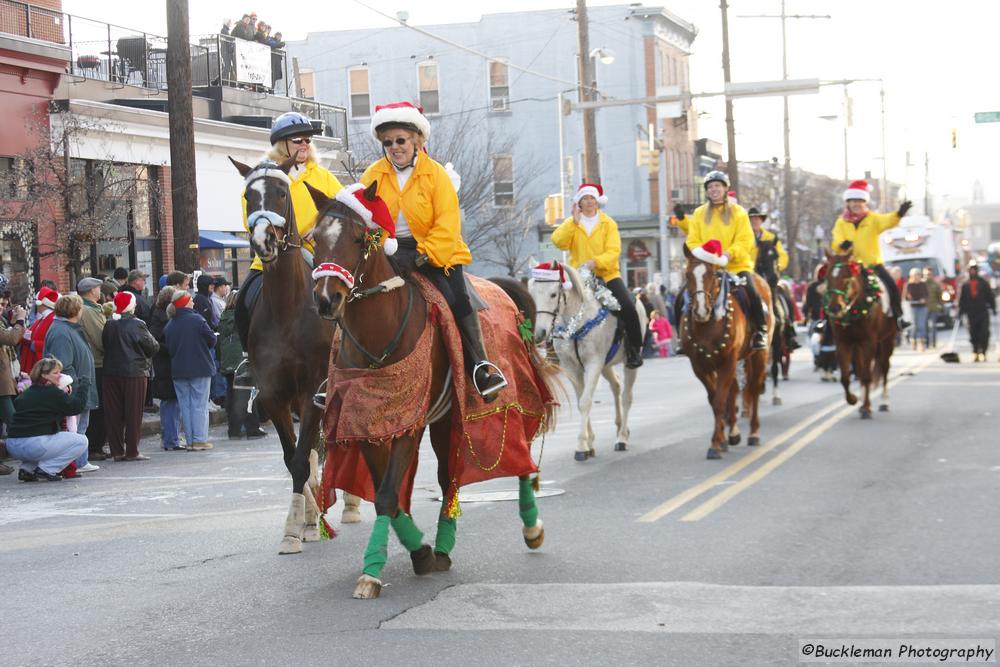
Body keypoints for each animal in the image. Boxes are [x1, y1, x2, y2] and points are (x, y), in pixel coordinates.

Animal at [229, 157, 334, 552]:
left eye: (281, 193)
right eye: (248, 195)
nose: (264, 240)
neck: (288, 308)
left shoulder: (311, 391)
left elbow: (303, 458)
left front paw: (300, 525)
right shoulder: (274, 396)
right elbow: (294, 460)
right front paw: (298, 524)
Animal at [306, 181, 556, 600]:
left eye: (358, 238)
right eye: (314, 239)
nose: (327, 300)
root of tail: (503, 289)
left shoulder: (410, 422)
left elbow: (387, 495)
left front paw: (372, 572)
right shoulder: (368, 424)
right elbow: (389, 494)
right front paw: (419, 551)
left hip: (509, 400)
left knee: (519, 459)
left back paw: (532, 526)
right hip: (444, 420)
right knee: (446, 478)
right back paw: (441, 546)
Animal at [528, 264, 644, 462]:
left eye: (553, 294)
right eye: (533, 295)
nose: (540, 333)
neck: (577, 322)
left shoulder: (593, 364)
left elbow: (585, 402)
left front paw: (581, 446)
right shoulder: (572, 368)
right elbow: (580, 400)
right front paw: (589, 444)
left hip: (628, 363)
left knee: (626, 397)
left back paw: (622, 438)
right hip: (606, 366)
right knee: (616, 386)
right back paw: (621, 428)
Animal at [680, 245, 772, 460]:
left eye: (713, 274)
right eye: (687, 274)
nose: (701, 311)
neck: (708, 326)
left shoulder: (727, 362)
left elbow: (720, 402)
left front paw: (715, 444)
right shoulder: (700, 366)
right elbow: (715, 399)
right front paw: (721, 440)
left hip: (759, 355)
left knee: (754, 389)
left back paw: (753, 433)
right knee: (735, 389)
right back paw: (734, 433)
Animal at [824, 250, 896, 418]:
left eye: (846, 275)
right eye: (828, 276)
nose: (835, 307)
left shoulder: (869, 342)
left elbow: (866, 375)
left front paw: (867, 408)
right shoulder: (843, 343)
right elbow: (845, 377)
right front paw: (853, 399)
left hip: (887, 339)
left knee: (884, 368)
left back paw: (884, 403)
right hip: (858, 346)